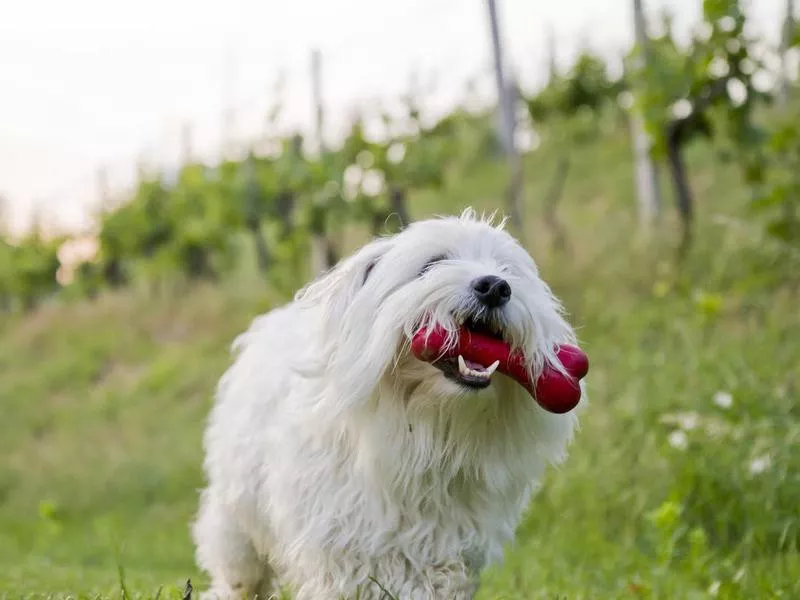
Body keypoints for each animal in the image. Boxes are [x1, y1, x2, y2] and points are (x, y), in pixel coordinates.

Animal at [194, 209, 588, 596]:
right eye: (433, 264)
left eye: (507, 271)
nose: (494, 287)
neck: (425, 425)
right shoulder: (338, 544)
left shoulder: (447, 550)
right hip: (237, 522)